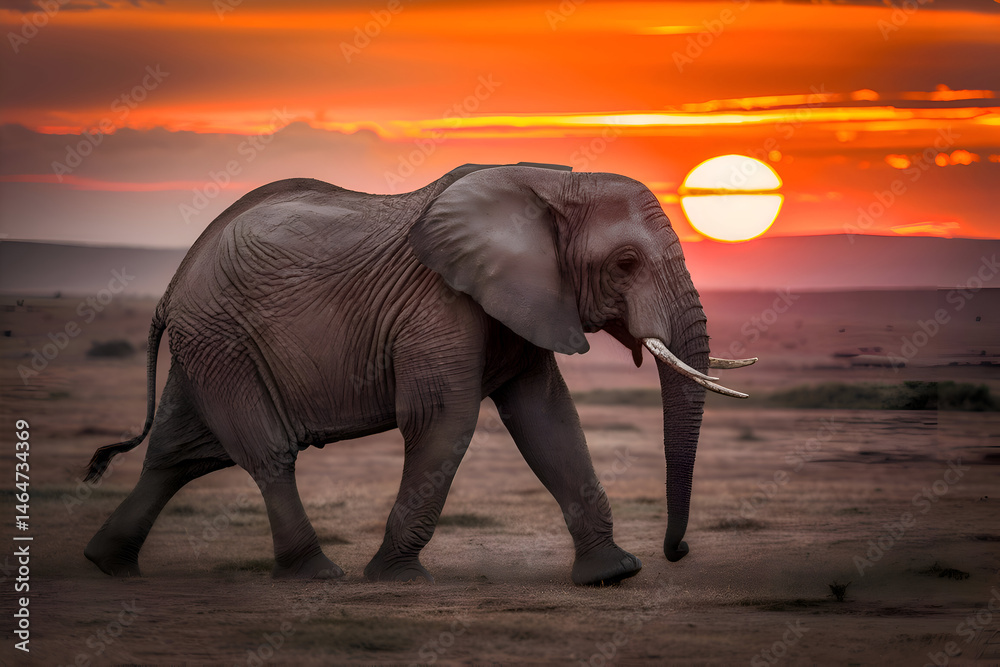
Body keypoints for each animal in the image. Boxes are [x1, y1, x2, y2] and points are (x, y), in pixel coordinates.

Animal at [83, 161, 754, 586]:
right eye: (625, 262)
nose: (677, 551)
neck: (550, 185)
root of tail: (175, 282)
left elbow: (547, 419)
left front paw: (613, 575)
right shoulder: (439, 301)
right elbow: (443, 419)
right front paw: (395, 579)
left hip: (208, 346)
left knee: (177, 454)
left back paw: (107, 564)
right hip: (224, 341)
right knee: (265, 454)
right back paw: (316, 574)